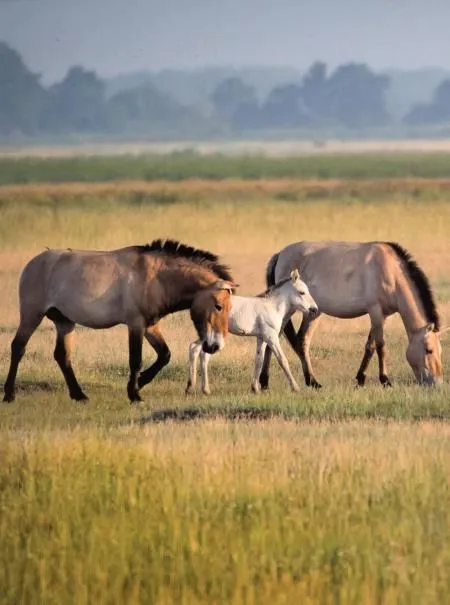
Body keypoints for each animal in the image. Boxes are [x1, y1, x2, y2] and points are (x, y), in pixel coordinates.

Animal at [2, 238, 236, 404]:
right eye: (218, 306)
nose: (214, 346)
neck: (155, 277)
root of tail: (33, 263)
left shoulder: (150, 325)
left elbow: (164, 355)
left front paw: (140, 382)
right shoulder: (135, 324)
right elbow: (136, 360)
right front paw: (134, 394)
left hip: (65, 322)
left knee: (62, 356)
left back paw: (79, 395)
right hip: (32, 315)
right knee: (18, 347)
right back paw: (9, 394)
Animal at [185, 268, 318, 392]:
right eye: (302, 292)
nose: (314, 309)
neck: (272, 306)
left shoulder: (261, 338)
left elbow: (259, 360)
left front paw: (255, 388)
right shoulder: (271, 337)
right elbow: (282, 360)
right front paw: (295, 387)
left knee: (195, 349)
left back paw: (194, 388)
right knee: (201, 352)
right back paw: (201, 388)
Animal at [256, 239, 446, 386]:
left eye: (440, 351)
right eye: (428, 350)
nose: (436, 382)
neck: (391, 273)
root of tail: (280, 255)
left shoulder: (382, 316)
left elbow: (370, 346)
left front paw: (360, 379)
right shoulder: (375, 311)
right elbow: (381, 346)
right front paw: (385, 380)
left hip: (313, 313)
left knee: (302, 341)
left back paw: (312, 381)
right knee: (275, 339)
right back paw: (265, 381)